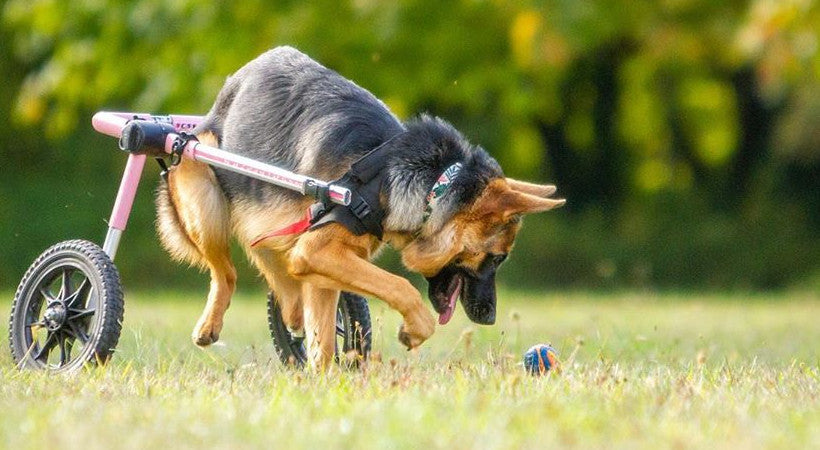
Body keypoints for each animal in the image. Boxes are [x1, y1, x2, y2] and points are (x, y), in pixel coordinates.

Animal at [154, 46, 564, 370]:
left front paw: (325, 384)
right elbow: (400, 286)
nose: (491, 318)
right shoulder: (318, 251)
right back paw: (210, 324)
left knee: (283, 287)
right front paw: (414, 330)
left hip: (270, 233)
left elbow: (322, 343)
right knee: (225, 271)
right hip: (204, 197)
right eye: (497, 258)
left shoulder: (317, 260)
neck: (432, 185)